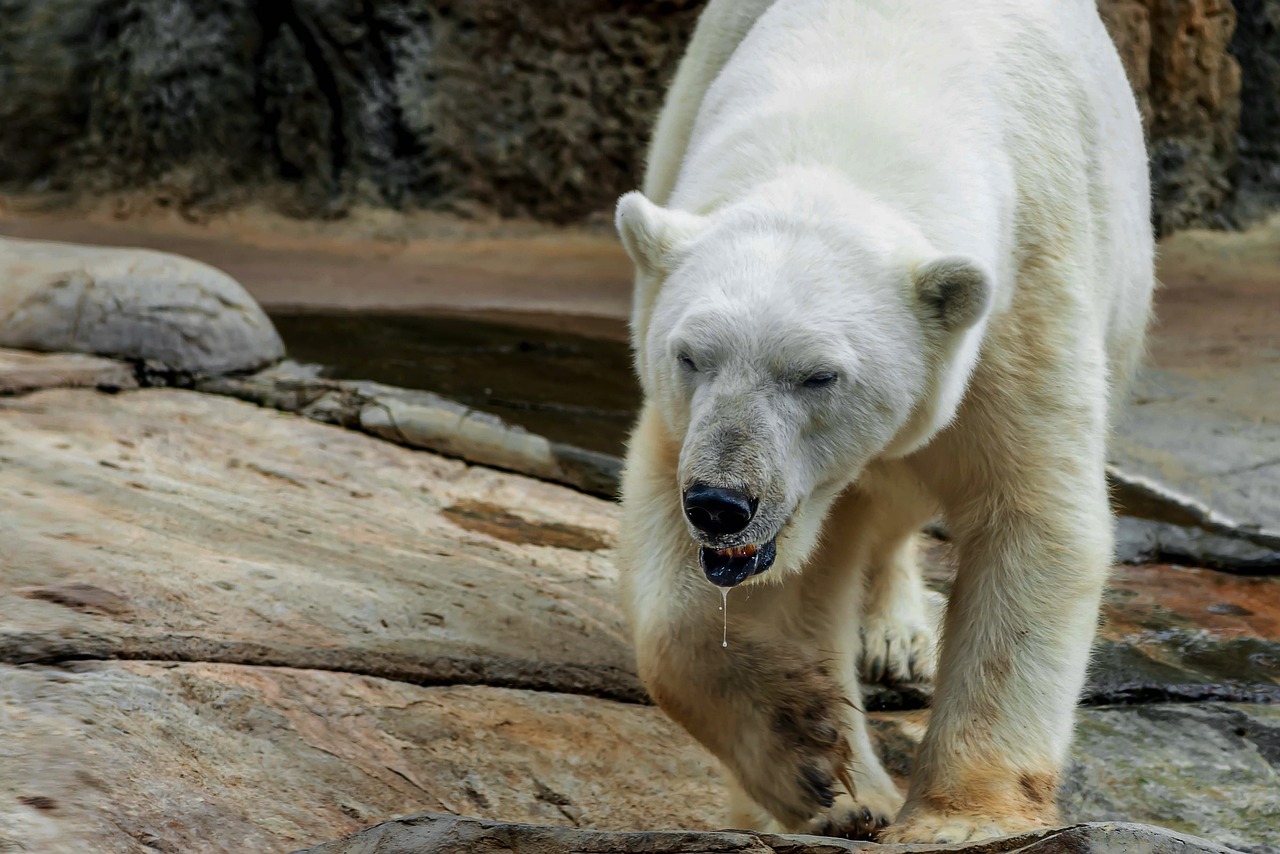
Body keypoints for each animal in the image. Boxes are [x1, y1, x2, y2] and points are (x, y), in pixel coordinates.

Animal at [614, 0, 1157, 839]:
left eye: (818, 376)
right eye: (690, 355)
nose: (721, 503)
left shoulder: (1027, 292)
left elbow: (1033, 516)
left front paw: (960, 818)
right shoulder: (688, 419)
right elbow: (685, 609)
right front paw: (816, 770)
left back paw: (896, 635)